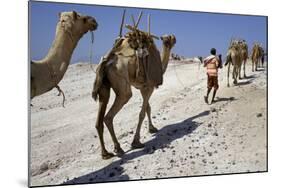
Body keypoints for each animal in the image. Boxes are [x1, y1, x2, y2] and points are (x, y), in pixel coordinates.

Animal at [92, 26, 175, 159]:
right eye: (168, 39)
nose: (174, 38)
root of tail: (107, 61)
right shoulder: (149, 86)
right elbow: (142, 113)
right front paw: (136, 142)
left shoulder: (142, 87)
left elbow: (148, 108)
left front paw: (152, 128)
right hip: (122, 83)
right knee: (110, 115)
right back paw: (118, 148)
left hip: (104, 87)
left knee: (99, 117)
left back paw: (105, 153)